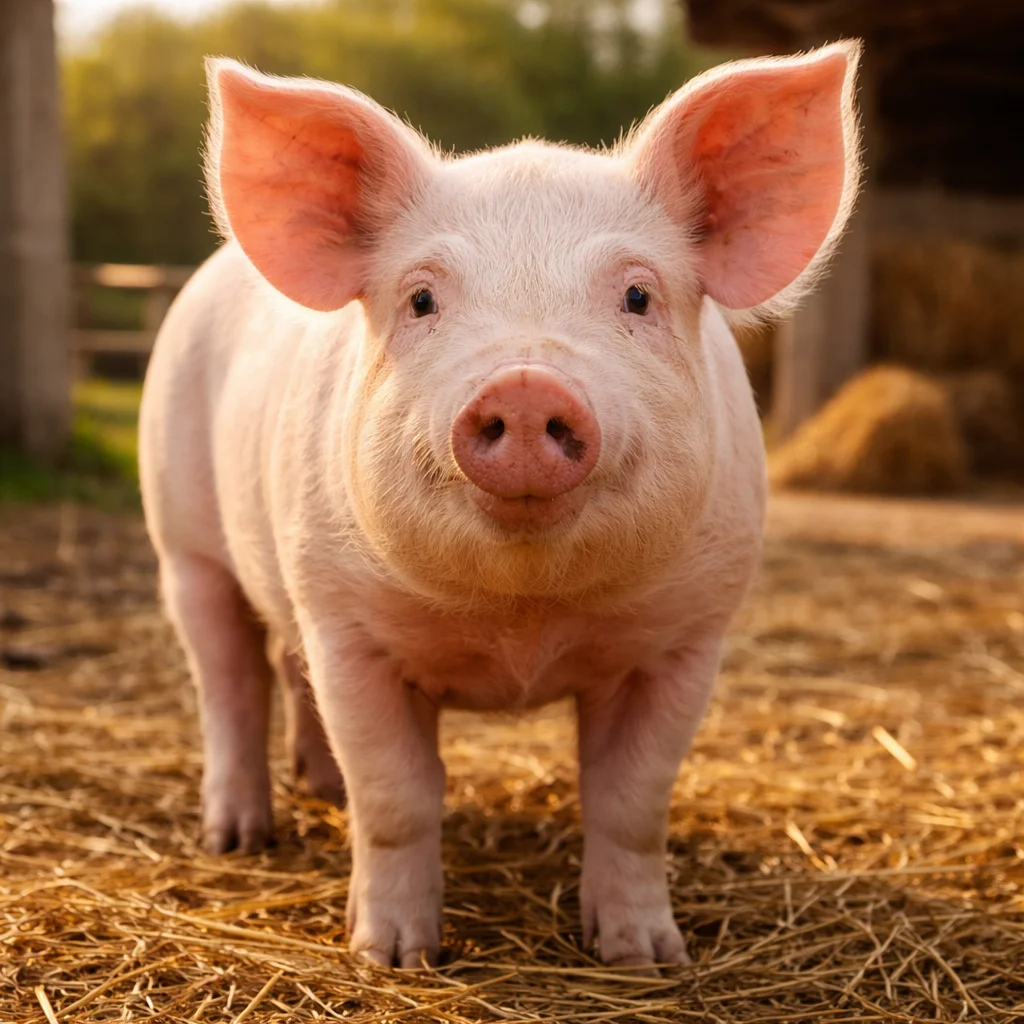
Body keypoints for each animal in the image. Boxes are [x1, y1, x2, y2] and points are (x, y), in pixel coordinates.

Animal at [138, 41, 862, 969]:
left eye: (637, 296)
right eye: (421, 299)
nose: (524, 385)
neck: (524, 618)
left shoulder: (690, 635)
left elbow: (632, 798)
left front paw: (646, 957)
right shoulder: (345, 624)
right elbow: (398, 796)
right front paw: (394, 958)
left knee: (281, 671)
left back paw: (319, 788)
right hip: (183, 538)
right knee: (229, 678)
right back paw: (239, 839)